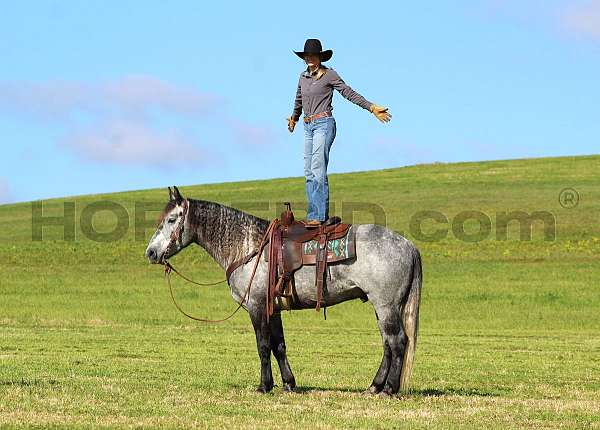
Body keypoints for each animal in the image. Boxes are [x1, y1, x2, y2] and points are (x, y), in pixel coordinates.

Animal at [145, 186, 422, 396]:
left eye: (171, 220)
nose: (151, 253)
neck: (248, 246)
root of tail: (408, 245)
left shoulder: (256, 306)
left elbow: (263, 345)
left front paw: (264, 386)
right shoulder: (273, 309)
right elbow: (279, 346)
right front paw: (289, 383)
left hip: (385, 306)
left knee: (398, 342)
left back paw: (389, 389)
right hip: (383, 307)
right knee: (387, 344)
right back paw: (375, 386)